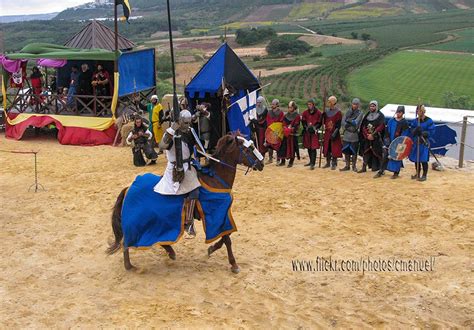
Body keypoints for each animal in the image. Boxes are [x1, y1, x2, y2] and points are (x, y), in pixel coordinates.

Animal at [106, 133, 262, 274]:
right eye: (249, 148)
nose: (261, 164)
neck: (216, 179)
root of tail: (129, 188)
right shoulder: (218, 216)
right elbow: (227, 238)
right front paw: (233, 264)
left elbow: (224, 238)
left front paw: (211, 249)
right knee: (126, 242)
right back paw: (129, 266)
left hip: (159, 220)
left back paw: (170, 252)